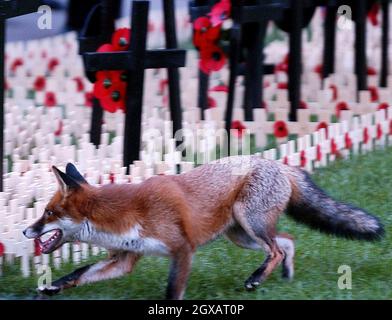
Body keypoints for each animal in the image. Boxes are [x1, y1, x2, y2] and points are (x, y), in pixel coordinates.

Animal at [23, 158, 384, 300]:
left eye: (48, 213)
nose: (26, 231)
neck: (122, 214)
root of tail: (279, 163)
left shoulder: (182, 249)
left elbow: (172, 290)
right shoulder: (125, 258)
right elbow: (80, 272)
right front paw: (51, 287)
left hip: (249, 224)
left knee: (277, 249)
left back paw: (256, 279)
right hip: (241, 235)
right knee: (287, 242)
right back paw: (284, 277)